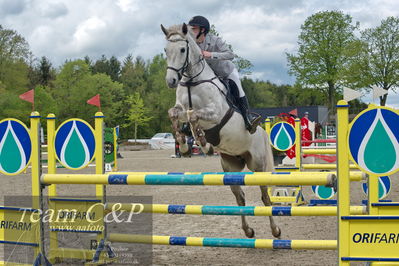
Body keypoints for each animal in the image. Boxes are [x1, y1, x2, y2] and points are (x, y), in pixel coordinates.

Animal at [162, 23, 282, 239]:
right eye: (166, 50)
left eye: (183, 49)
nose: (171, 81)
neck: (192, 81)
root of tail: (262, 132)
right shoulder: (180, 108)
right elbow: (176, 114)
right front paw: (184, 145)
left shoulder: (215, 113)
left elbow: (194, 116)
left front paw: (203, 143)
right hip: (230, 166)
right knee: (240, 197)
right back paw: (248, 230)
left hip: (258, 164)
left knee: (265, 197)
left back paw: (275, 230)